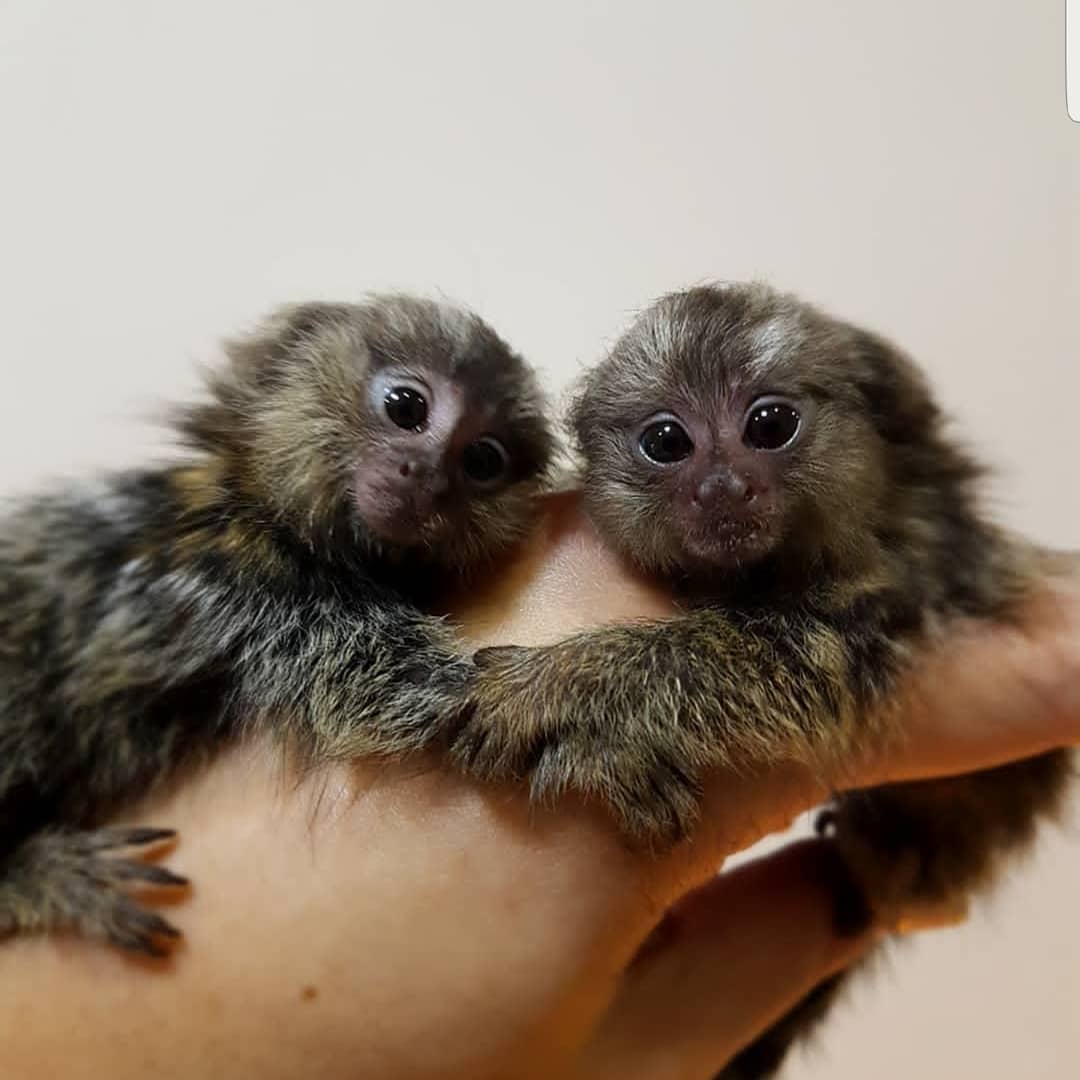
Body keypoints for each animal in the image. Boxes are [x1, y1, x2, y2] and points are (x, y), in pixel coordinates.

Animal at [0, 294, 554, 956]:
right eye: (406, 407)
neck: (269, 515)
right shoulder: (248, 584)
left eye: (482, 460)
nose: (425, 475)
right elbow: (415, 697)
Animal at [455, 282, 1072, 1076]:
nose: (722, 487)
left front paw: (559, 691)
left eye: (770, 424)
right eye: (667, 442)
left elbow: (795, 666)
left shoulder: (899, 578)